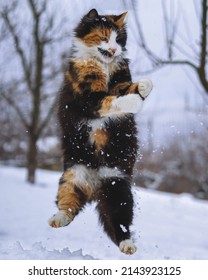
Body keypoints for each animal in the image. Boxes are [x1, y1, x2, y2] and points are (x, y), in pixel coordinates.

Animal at [48, 8, 153, 255]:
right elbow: (111, 100)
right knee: (67, 205)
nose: (114, 49)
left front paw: (144, 86)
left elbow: (124, 88)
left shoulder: (120, 80)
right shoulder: (86, 97)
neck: (104, 65)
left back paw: (128, 246)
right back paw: (56, 220)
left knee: (121, 223)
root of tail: (95, 188)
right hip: (72, 176)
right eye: (104, 37)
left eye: (118, 40)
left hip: (118, 189)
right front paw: (135, 100)